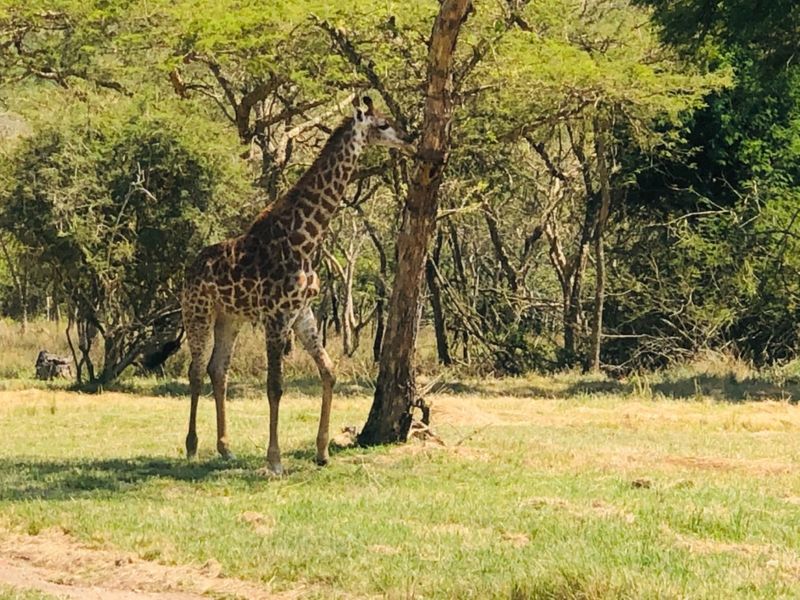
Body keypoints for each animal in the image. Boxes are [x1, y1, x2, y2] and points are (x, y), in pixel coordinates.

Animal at [181, 96, 413, 475]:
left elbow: (329, 372)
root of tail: (189, 268)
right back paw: (191, 447)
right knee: (197, 370)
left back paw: (225, 449)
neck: (305, 237)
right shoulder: (277, 315)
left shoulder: (302, 311)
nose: (409, 138)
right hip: (197, 312)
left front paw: (322, 451)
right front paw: (274, 461)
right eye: (382, 124)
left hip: (230, 318)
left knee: (219, 370)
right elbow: (275, 386)